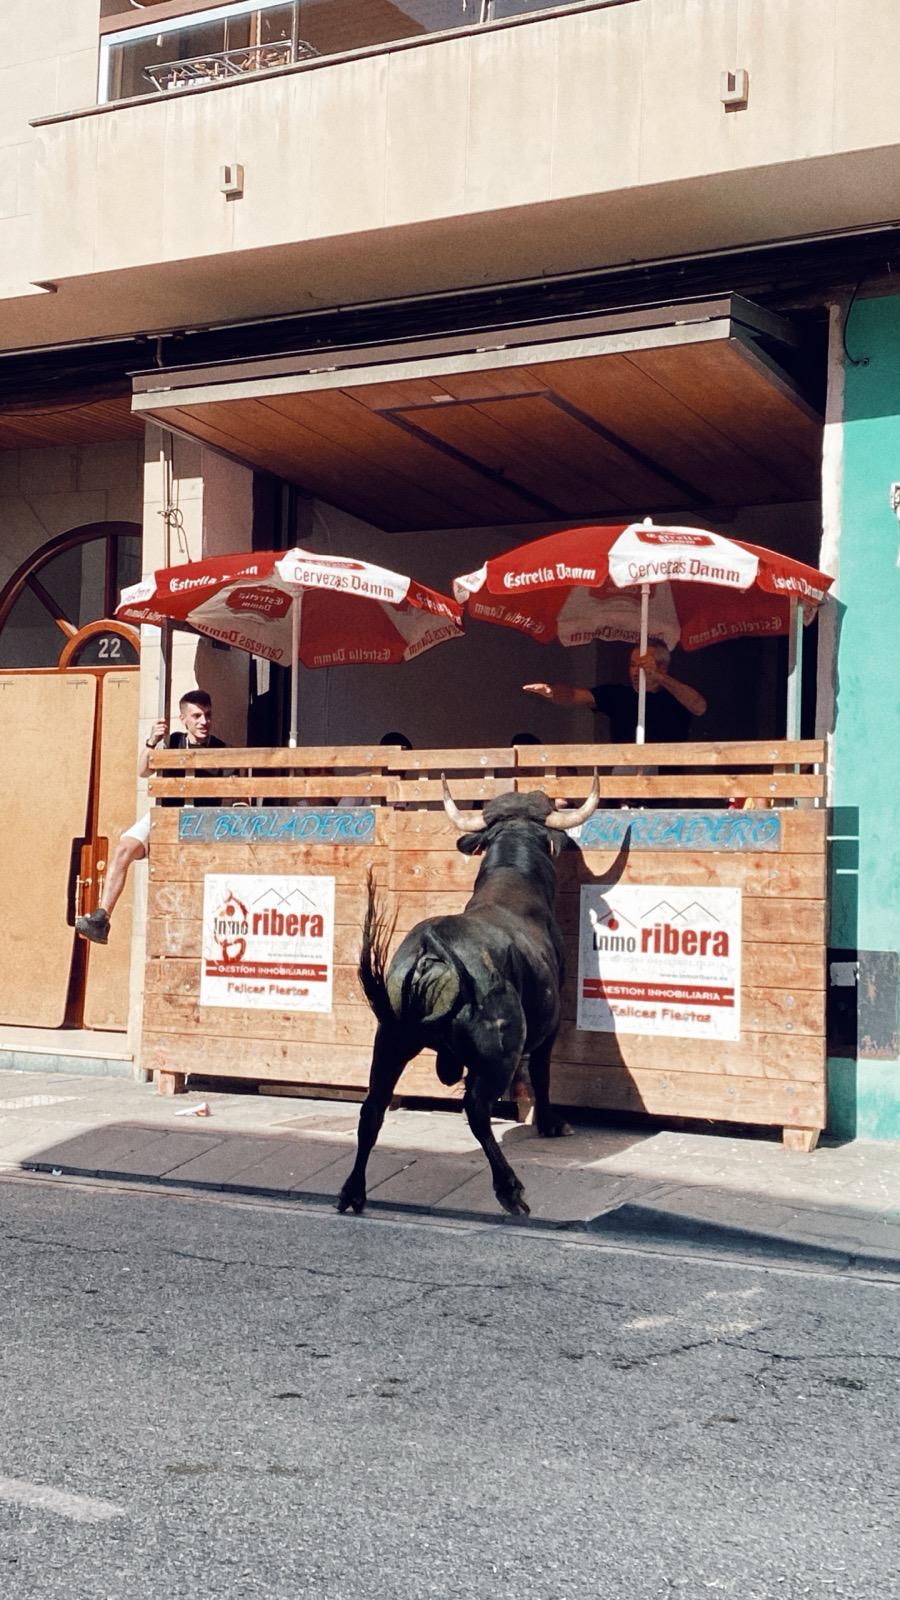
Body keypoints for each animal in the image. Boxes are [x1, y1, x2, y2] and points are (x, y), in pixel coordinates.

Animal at [337, 780, 602, 1216]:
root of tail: (432, 947)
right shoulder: (549, 1025)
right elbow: (543, 1072)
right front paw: (551, 1124)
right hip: (498, 1052)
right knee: (476, 1109)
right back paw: (510, 1190)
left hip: (390, 1040)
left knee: (372, 1107)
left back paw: (352, 1192)